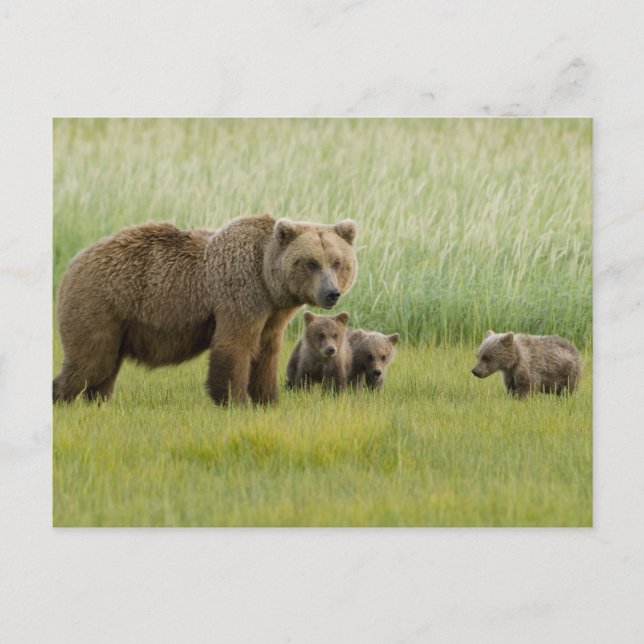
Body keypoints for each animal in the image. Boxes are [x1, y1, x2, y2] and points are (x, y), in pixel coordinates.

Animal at [53, 214, 358, 405]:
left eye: (337, 262)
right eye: (311, 262)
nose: (331, 293)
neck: (267, 281)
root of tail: (74, 261)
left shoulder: (273, 314)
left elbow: (267, 353)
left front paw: (267, 399)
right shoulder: (240, 295)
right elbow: (235, 346)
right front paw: (235, 400)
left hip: (119, 325)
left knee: (105, 368)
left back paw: (98, 401)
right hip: (100, 305)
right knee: (89, 361)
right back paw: (61, 397)